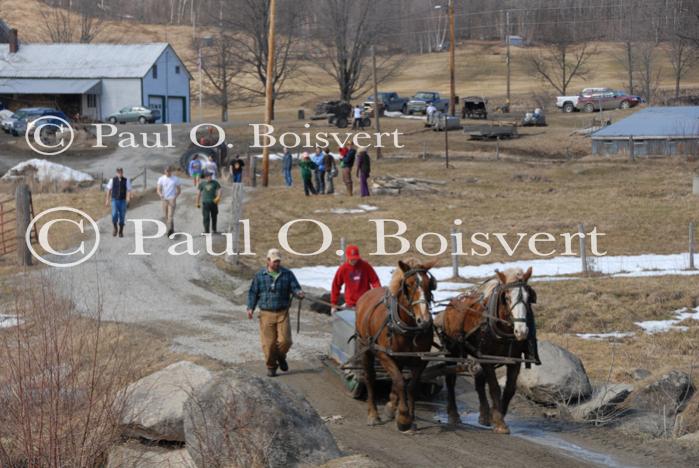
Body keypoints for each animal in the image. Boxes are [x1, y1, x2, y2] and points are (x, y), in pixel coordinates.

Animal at [356, 260, 438, 432]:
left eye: (430, 284)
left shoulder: (421, 359)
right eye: (408, 284)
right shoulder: (384, 355)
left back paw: (391, 406)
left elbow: (411, 385)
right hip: (365, 347)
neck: (409, 328)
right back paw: (373, 414)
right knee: (370, 377)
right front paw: (403, 418)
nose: (424, 320)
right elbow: (400, 381)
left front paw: (409, 418)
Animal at [440, 268, 540, 434]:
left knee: (479, 379)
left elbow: (509, 390)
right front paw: (499, 422)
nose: (521, 331)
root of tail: (452, 302)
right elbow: (494, 388)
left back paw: (484, 415)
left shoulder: (514, 360)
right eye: (506, 297)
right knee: (450, 379)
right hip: (453, 351)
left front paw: (497, 416)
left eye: (528, 297)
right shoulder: (487, 358)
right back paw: (453, 414)